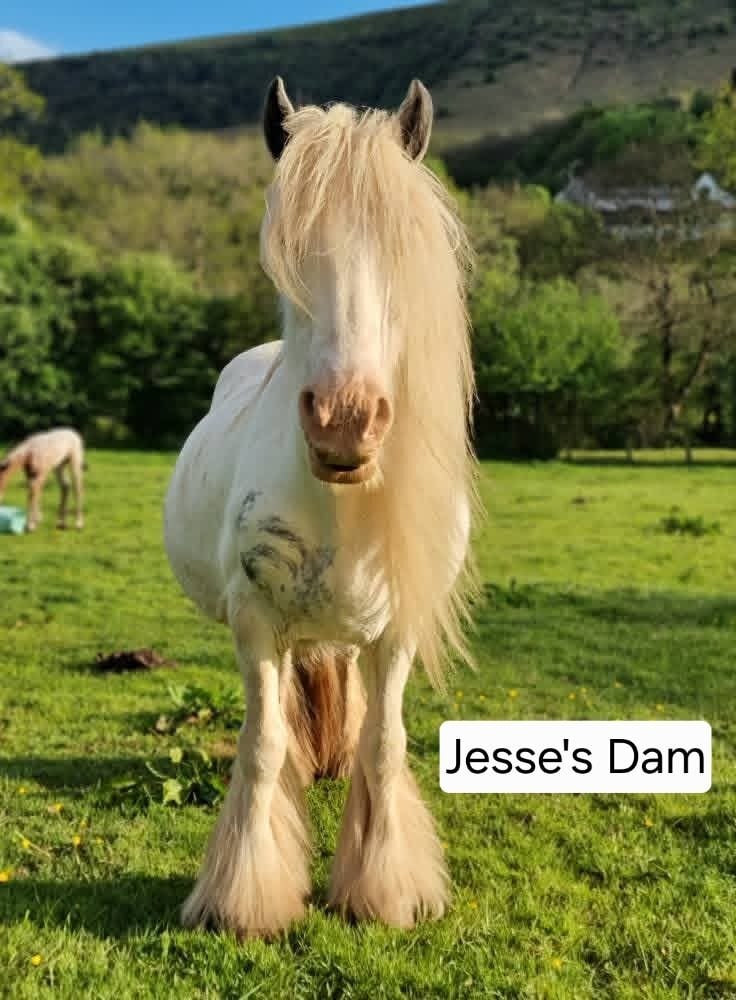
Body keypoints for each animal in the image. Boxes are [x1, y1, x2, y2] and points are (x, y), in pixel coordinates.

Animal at [164, 76, 478, 938]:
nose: (344, 420)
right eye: (288, 256)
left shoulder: (398, 631)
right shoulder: (255, 624)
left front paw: (384, 890)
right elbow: (264, 745)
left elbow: (383, 744)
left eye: (399, 252)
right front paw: (245, 900)